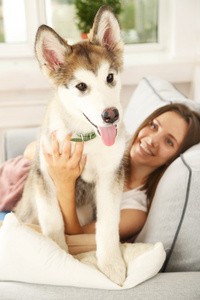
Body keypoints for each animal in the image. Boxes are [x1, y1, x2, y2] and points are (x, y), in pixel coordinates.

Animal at [14, 5, 126, 284]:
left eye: (110, 77)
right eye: (81, 86)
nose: (111, 115)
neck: (85, 139)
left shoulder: (111, 176)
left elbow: (108, 224)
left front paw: (112, 265)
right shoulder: (44, 174)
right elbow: (53, 220)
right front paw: (58, 257)